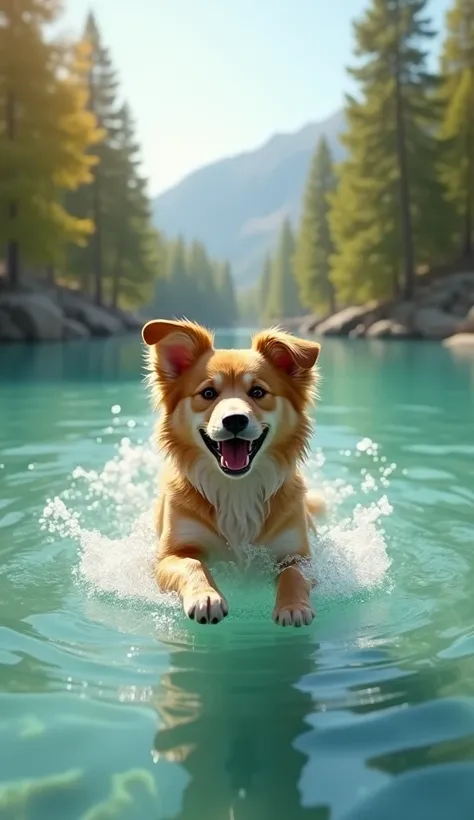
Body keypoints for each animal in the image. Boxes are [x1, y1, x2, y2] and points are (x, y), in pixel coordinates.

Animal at [143, 320, 324, 628]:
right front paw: (206, 596)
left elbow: (294, 574)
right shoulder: (169, 555)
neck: (236, 488)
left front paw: (293, 606)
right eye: (208, 393)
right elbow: (192, 564)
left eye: (258, 392)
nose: (235, 420)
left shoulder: (301, 557)